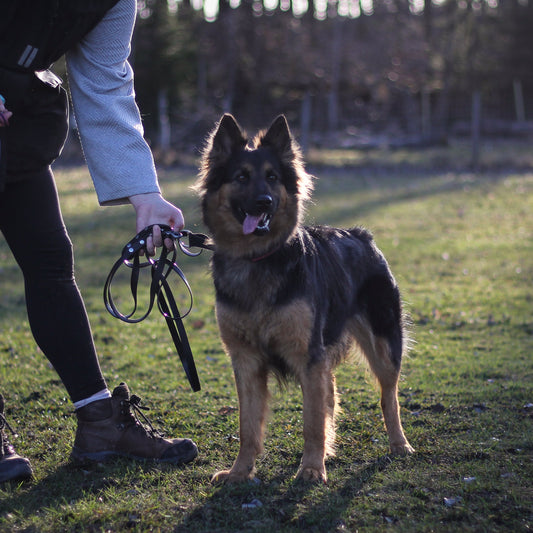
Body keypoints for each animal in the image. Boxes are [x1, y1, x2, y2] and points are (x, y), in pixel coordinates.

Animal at [194, 114, 412, 484]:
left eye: (272, 177)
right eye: (241, 177)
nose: (264, 202)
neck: (257, 259)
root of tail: (361, 235)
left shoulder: (307, 356)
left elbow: (312, 421)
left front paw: (311, 468)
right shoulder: (246, 360)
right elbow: (248, 426)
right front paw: (240, 471)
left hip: (384, 347)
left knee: (388, 398)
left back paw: (399, 444)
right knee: (332, 393)